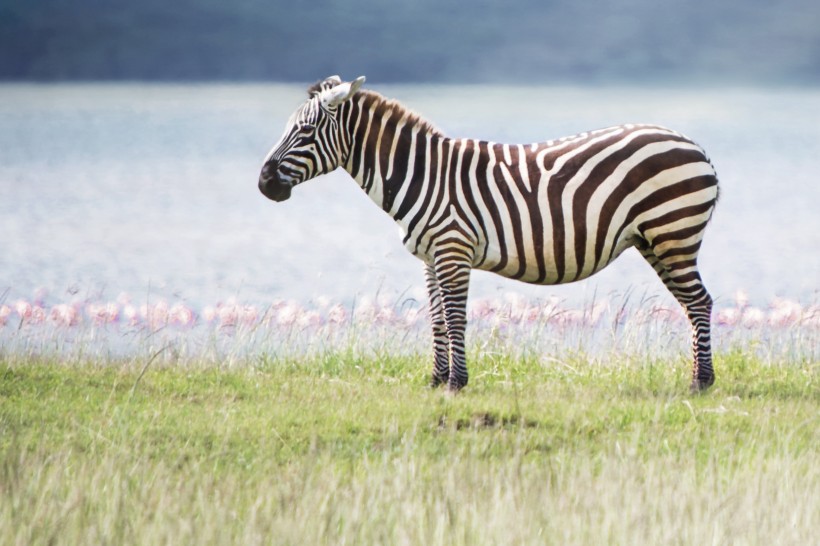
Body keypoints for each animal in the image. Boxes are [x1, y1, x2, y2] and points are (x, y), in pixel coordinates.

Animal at [260, 75, 720, 392]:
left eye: (304, 132)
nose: (264, 183)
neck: (422, 175)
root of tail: (696, 147)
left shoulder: (453, 250)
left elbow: (456, 317)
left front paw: (456, 383)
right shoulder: (431, 257)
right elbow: (437, 319)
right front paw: (436, 380)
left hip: (673, 234)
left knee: (700, 303)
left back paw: (701, 382)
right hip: (657, 241)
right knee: (692, 303)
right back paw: (699, 376)